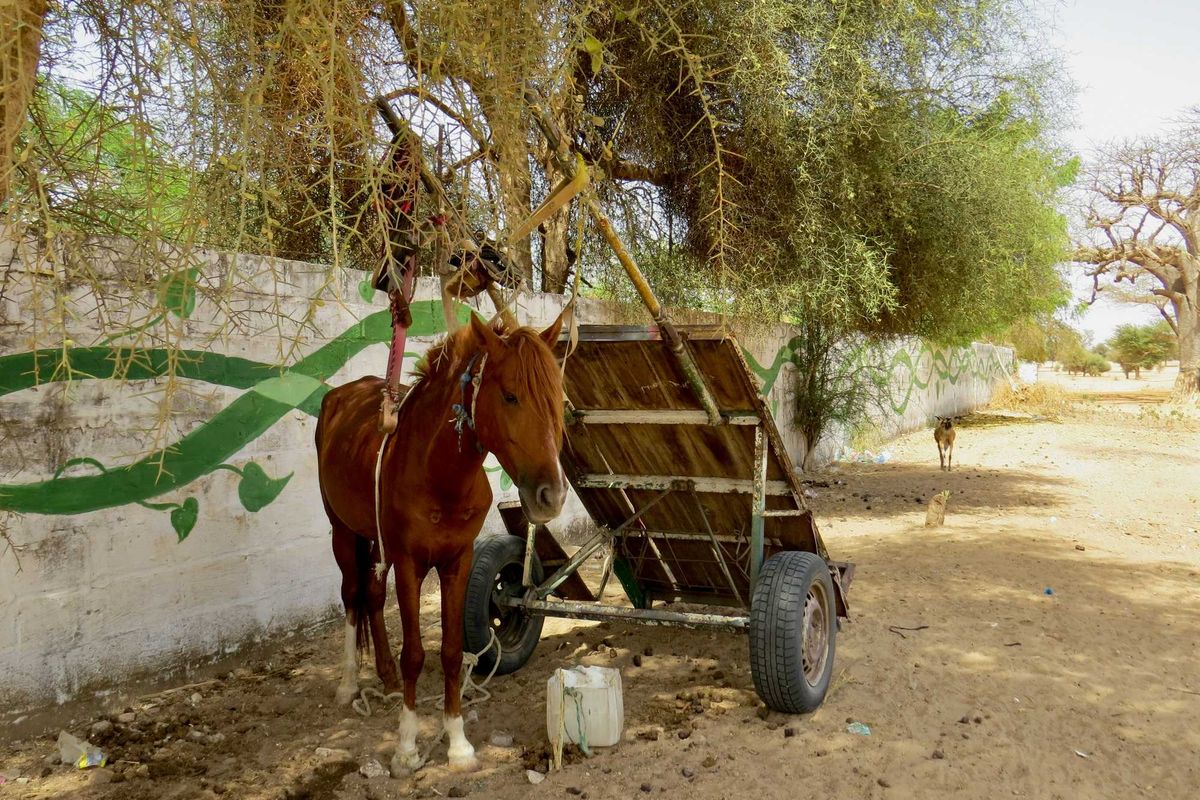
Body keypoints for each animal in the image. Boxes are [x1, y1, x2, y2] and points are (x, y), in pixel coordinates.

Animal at [314, 311, 568, 772]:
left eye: (557, 395)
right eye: (510, 396)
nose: (552, 495)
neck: (439, 473)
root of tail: (342, 394)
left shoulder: (457, 561)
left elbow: (450, 651)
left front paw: (458, 743)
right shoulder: (410, 564)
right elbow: (415, 653)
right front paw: (406, 746)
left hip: (377, 541)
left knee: (372, 595)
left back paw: (386, 676)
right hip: (343, 531)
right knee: (353, 594)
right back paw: (348, 682)